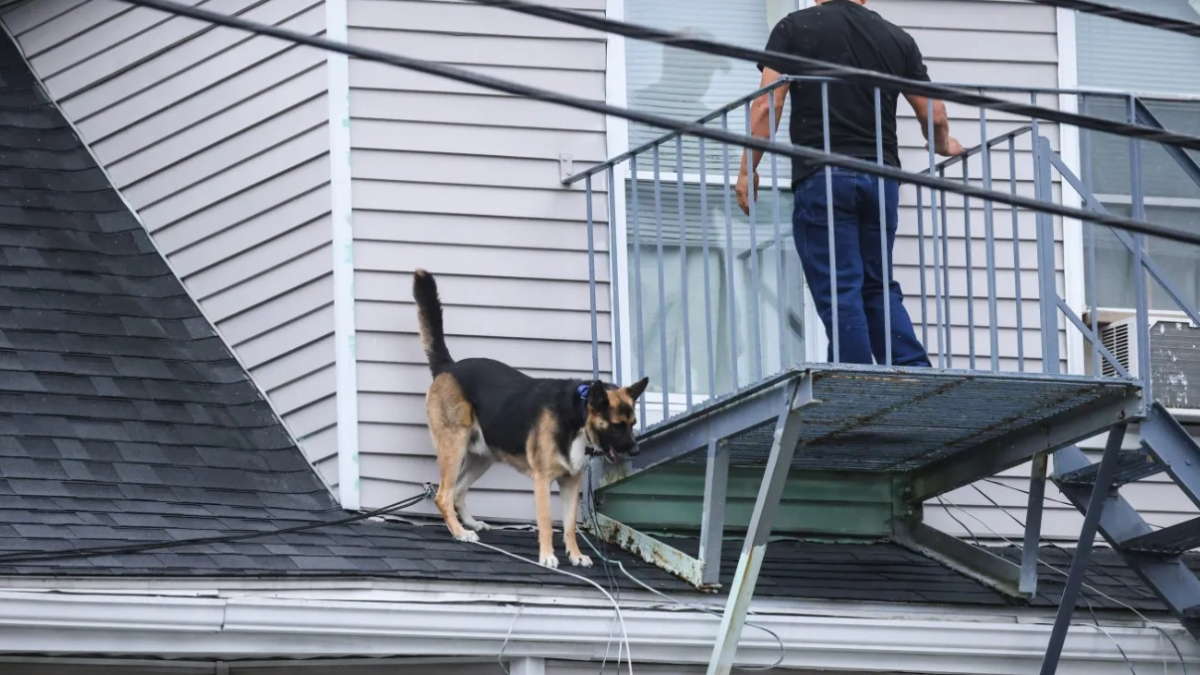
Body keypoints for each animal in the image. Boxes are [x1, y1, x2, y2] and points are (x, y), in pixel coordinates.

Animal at [410, 267, 648, 566]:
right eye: (618, 426)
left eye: (633, 424)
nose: (637, 451)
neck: (577, 415)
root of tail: (448, 367)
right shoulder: (543, 481)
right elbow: (546, 522)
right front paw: (547, 557)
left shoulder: (571, 483)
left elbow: (569, 526)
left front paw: (575, 555)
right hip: (455, 447)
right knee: (443, 495)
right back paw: (460, 532)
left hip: (482, 456)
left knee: (457, 491)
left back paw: (471, 523)